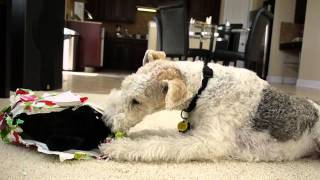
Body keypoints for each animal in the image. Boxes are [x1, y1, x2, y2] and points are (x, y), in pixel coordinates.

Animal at [100, 50, 320, 162]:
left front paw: (118, 147)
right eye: (123, 85)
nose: (106, 122)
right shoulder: (193, 130)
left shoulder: (208, 140)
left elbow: (159, 143)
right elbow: (158, 134)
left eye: (136, 101)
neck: (203, 87)